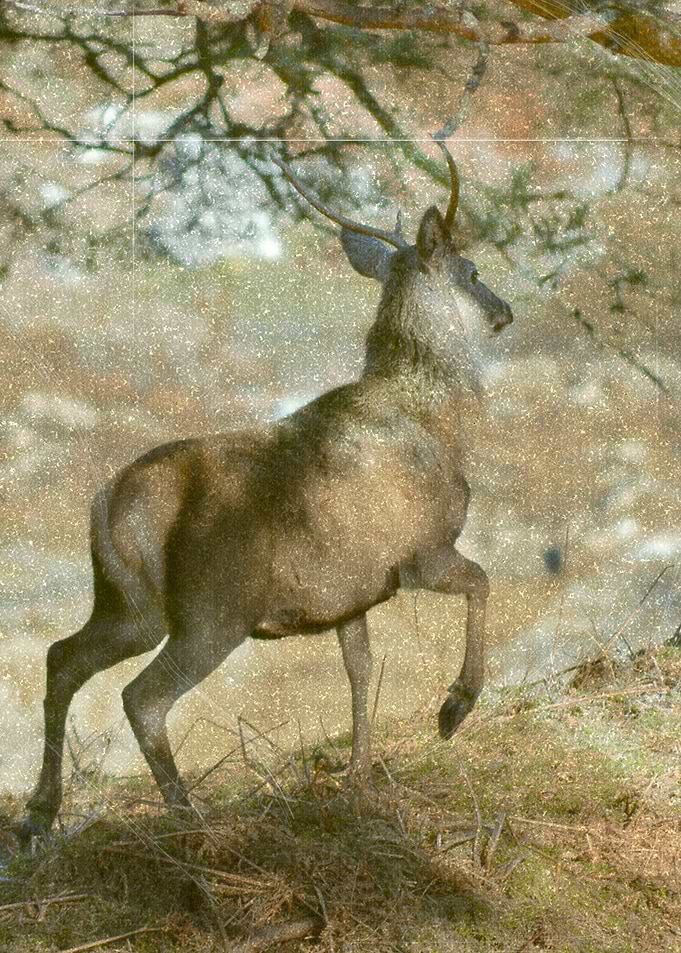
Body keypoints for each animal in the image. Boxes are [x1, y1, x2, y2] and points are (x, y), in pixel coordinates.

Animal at [18, 139, 513, 845]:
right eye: (472, 270)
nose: (504, 312)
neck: (436, 423)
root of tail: (113, 501)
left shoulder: (349, 591)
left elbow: (360, 670)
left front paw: (358, 784)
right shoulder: (423, 550)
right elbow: (482, 581)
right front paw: (455, 706)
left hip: (130, 603)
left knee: (62, 657)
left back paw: (38, 814)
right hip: (213, 608)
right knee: (142, 697)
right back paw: (185, 819)